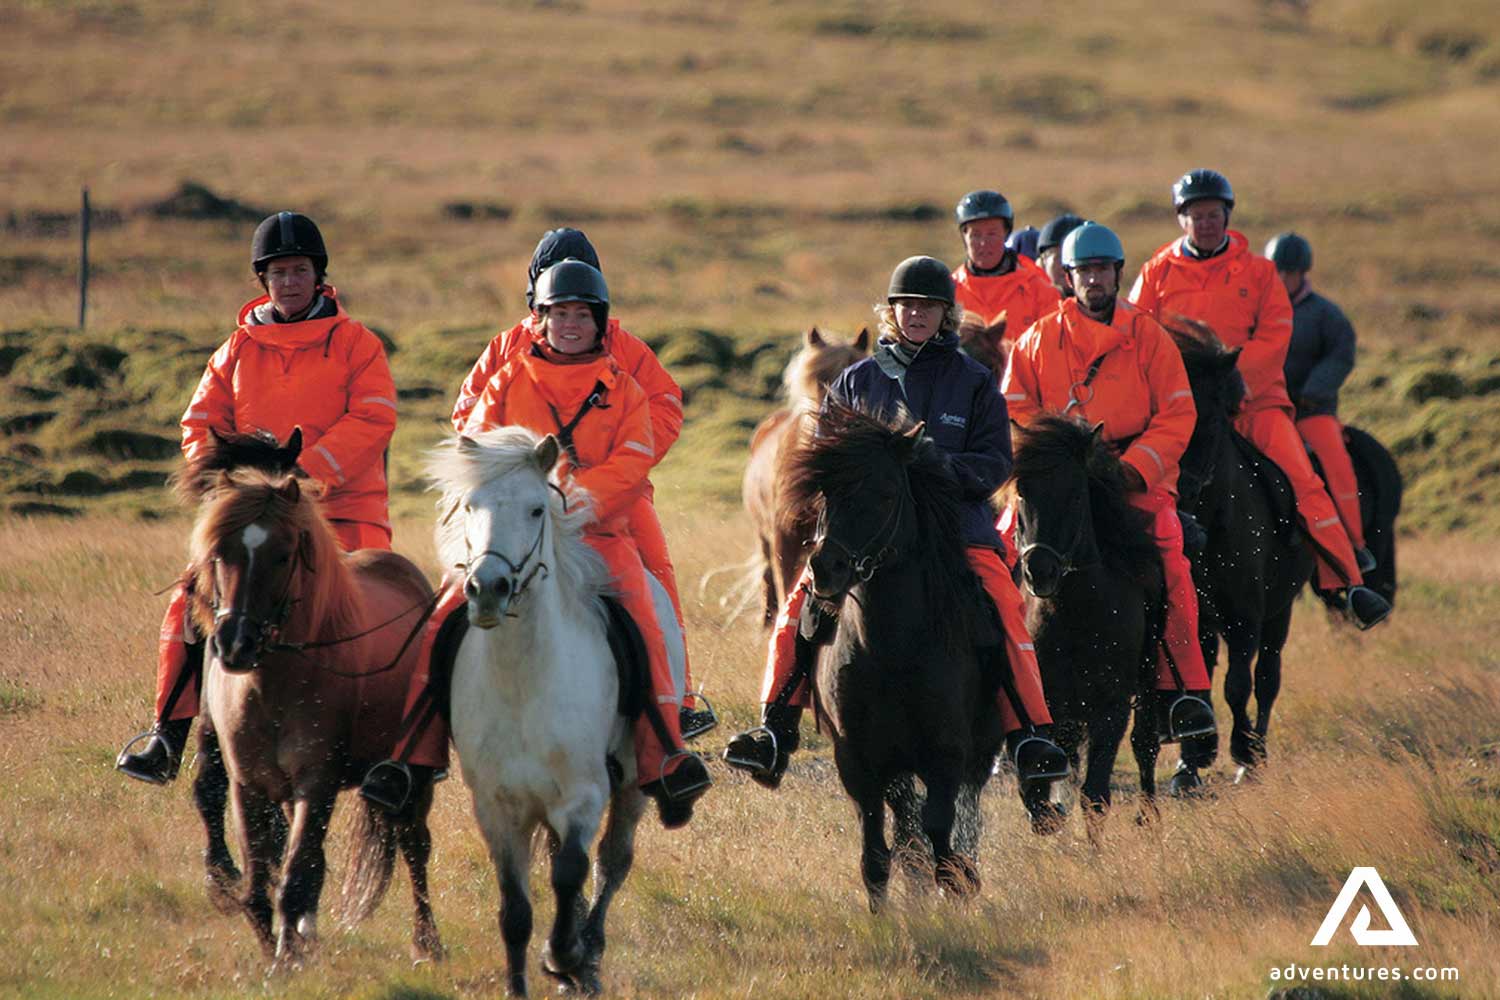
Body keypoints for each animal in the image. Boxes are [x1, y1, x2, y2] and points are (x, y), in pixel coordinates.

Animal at [185, 447, 442, 968]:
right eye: (220, 553)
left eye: (283, 555)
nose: (235, 644)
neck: (271, 685)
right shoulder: (249, 786)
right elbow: (262, 878)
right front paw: (277, 947)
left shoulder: (316, 783)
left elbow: (297, 870)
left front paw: (288, 955)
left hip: (414, 777)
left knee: (414, 846)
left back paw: (426, 942)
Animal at [430, 428, 681, 998]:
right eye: (470, 506)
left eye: (536, 509)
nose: (488, 590)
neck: (523, 684)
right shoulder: (497, 809)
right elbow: (515, 910)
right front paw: (524, 980)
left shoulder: (583, 796)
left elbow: (571, 871)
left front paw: (566, 955)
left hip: (634, 782)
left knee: (612, 862)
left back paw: (588, 955)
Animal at [779, 399, 1004, 910]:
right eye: (825, 493)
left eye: (884, 495)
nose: (825, 568)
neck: (891, 649)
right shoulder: (859, 760)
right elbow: (878, 852)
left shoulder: (947, 753)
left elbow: (942, 835)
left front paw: (959, 887)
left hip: (978, 753)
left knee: (963, 819)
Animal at [1011, 415, 1164, 840]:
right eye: (1021, 493)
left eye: (1075, 494)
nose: (1039, 571)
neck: (1074, 614)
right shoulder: (1044, 704)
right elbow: (1040, 782)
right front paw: (1049, 818)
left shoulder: (1111, 707)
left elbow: (1095, 796)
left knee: (1145, 744)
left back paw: (1149, 815)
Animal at [1168, 319, 1314, 786]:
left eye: (1213, 418)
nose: (1182, 492)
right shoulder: (1193, 617)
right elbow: (1196, 686)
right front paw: (1192, 759)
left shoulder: (1246, 615)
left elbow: (1237, 685)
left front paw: (1242, 751)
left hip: (1278, 613)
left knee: (1267, 678)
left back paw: (1256, 752)